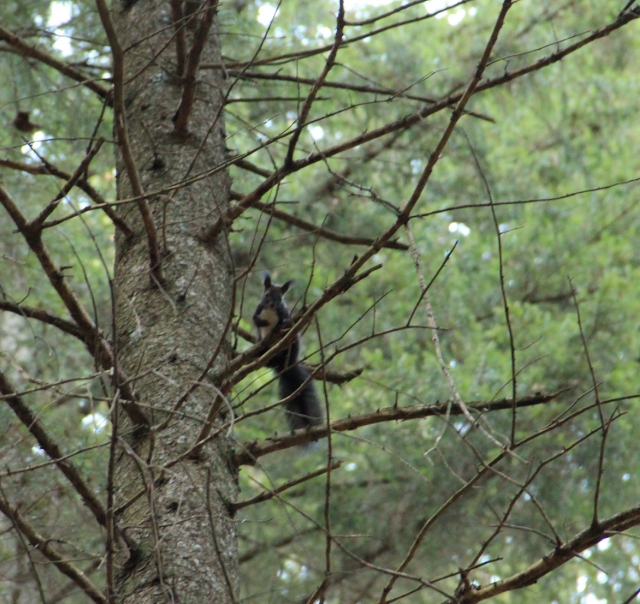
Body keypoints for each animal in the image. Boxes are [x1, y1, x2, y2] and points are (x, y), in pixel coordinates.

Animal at [252, 273, 323, 431]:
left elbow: (284, 320)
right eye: (267, 294)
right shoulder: (258, 309)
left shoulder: (284, 313)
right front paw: (263, 323)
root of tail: (284, 365)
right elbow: (254, 319)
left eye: (281, 298)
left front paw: (277, 325)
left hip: (293, 343)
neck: (270, 311)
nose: (272, 304)